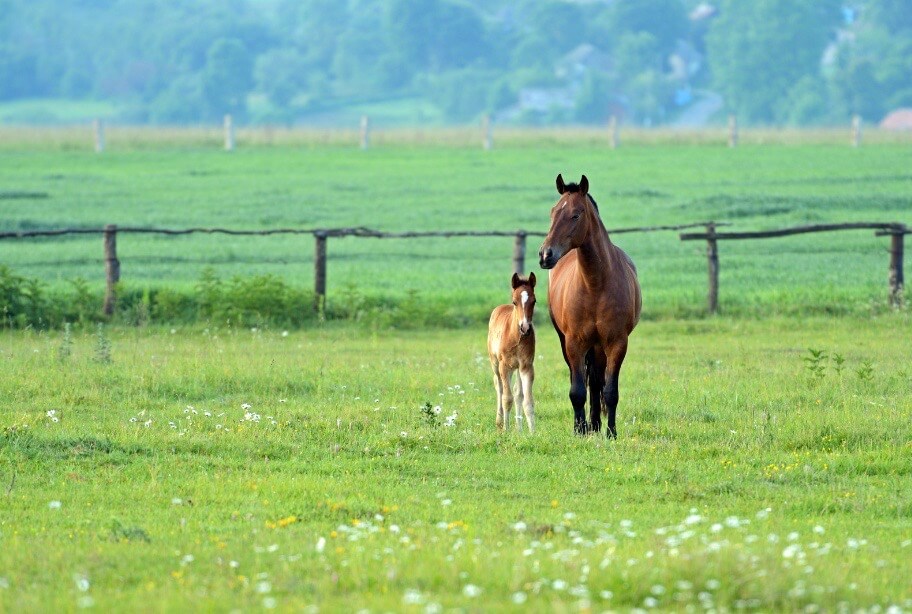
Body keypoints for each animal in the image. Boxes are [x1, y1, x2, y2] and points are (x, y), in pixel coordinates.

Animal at [487, 272, 537, 432]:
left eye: (534, 301)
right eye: (515, 302)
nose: (525, 328)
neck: (516, 337)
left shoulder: (526, 366)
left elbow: (527, 401)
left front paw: (532, 433)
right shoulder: (505, 366)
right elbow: (506, 398)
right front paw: (506, 430)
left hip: (516, 368)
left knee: (518, 393)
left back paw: (519, 428)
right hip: (495, 363)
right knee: (499, 386)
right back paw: (499, 422)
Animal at [538, 174, 641, 438]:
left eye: (576, 215)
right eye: (552, 212)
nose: (545, 255)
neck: (596, 284)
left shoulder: (617, 343)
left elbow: (610, 391)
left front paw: (611, 432)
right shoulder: (574, 343)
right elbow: (576, 390)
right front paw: (579, 430)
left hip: (598, 346)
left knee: (595, 382)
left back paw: (596, 424)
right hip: (570, 342)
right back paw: (587, 425)